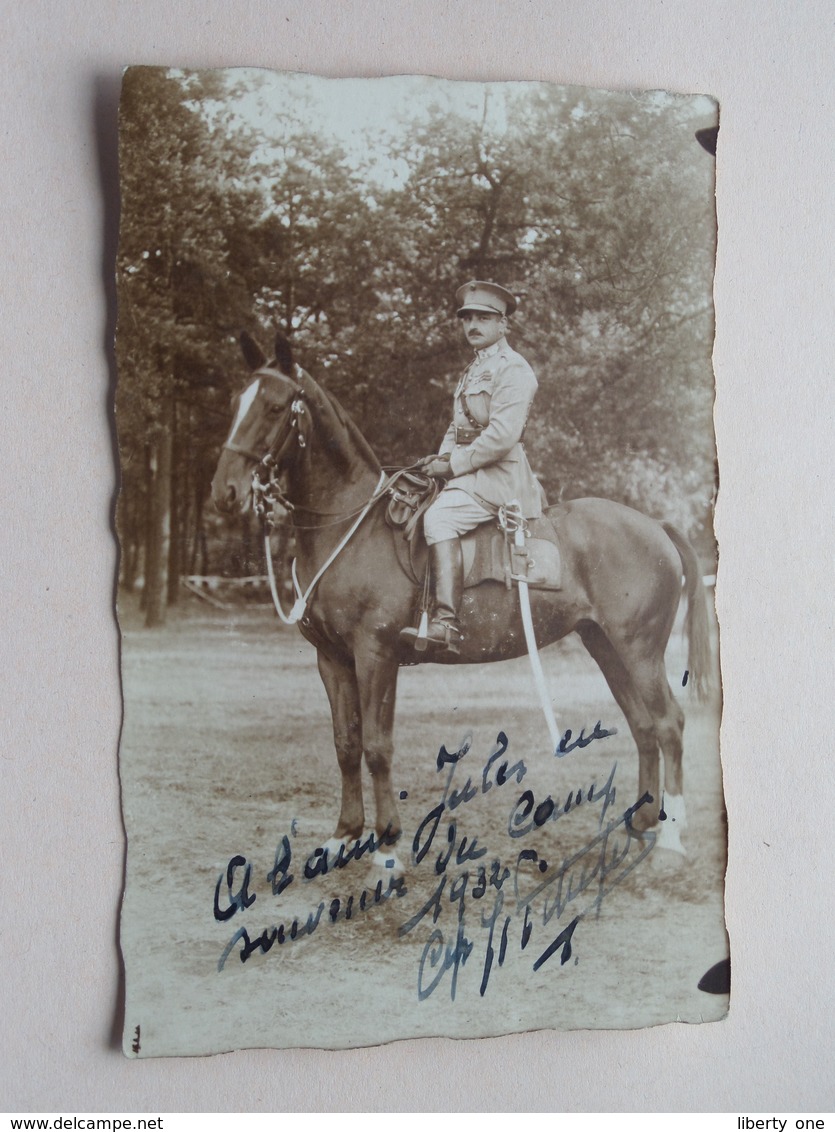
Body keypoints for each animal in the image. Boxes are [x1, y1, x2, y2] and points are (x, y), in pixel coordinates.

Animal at [211, 330, 710, 860]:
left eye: (274, 407)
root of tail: (653, 524)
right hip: (606, 647)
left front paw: (386, 844)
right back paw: (641, 820)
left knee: (669, 724)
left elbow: (377, 746)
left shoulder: (375, 654)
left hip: (639, 651)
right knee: (643, 726)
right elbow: (345, 744)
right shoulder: (333, 659)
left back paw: (670, 836)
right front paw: (344, 834)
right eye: (235, 403)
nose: (225, 492)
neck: (349, 525)